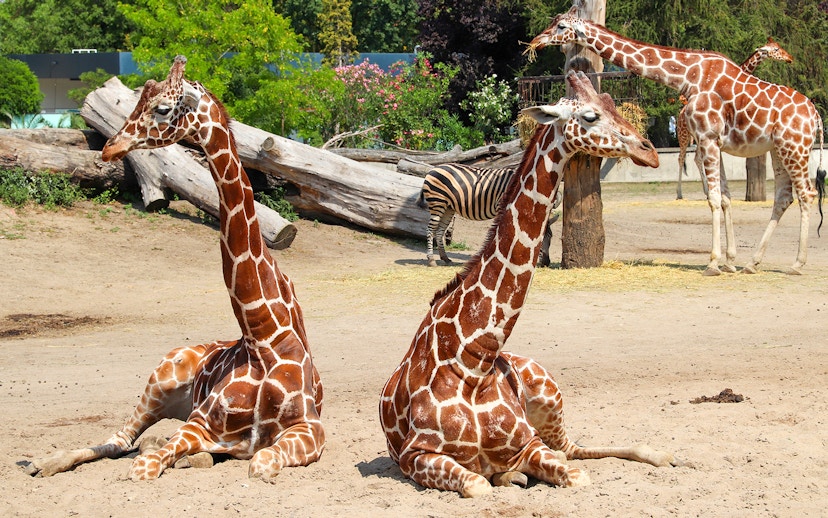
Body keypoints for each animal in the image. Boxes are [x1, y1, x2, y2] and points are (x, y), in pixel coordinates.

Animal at [23, 56, 325, 481]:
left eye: (162, 108)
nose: (111, 147)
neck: (261, 337)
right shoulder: (201, 422)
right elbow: (146, 465)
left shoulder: (309, 428)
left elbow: (260, 462)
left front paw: (195, 457)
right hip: (160, 380)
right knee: (121, 440)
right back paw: (43, 462)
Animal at [418, 163, 561, 267]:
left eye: (551, 237)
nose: (547, 263)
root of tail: (434, 168)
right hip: (438, 202)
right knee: (430, 230)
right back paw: (431, 260)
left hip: (448, 207)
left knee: (439, 231)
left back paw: (445, 258)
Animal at [676, 38, 794, 199]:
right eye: (776, 49)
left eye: (779, 47)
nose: (789, 58)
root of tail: (680, 114)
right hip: (683, 136)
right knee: (681, 158)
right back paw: (680, 194)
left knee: (697, 159)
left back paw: (706, 191)